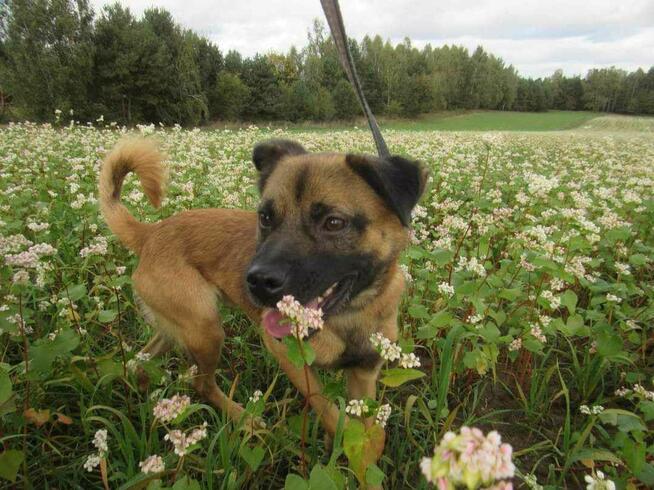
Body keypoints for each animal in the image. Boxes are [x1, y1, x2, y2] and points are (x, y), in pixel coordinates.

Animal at [96, 135, 426, 448]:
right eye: (265, 217)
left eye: (334, 222)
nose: (257, 281)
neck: (353, 312)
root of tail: (150, 233)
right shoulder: (288, 356)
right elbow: (329, 412)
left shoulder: (364, 375)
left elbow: (366, 433)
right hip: (206, 330)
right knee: (201, 383)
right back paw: (245, 420)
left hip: (182, 326)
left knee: (143, 360)